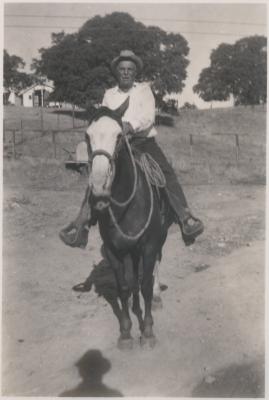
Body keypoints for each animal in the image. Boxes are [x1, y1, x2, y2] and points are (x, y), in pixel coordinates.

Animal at [86, 99, 174, 346]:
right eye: (88, 136)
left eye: (118, 136)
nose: (98, 186)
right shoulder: (114, 250)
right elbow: (124, 287)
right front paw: (126, 332)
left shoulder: (150, 245)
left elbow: (145, 285)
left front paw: (148, 330)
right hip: (131, 250)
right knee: (134, 275)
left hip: (159, 239)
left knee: (155, 267)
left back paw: (157, 298)